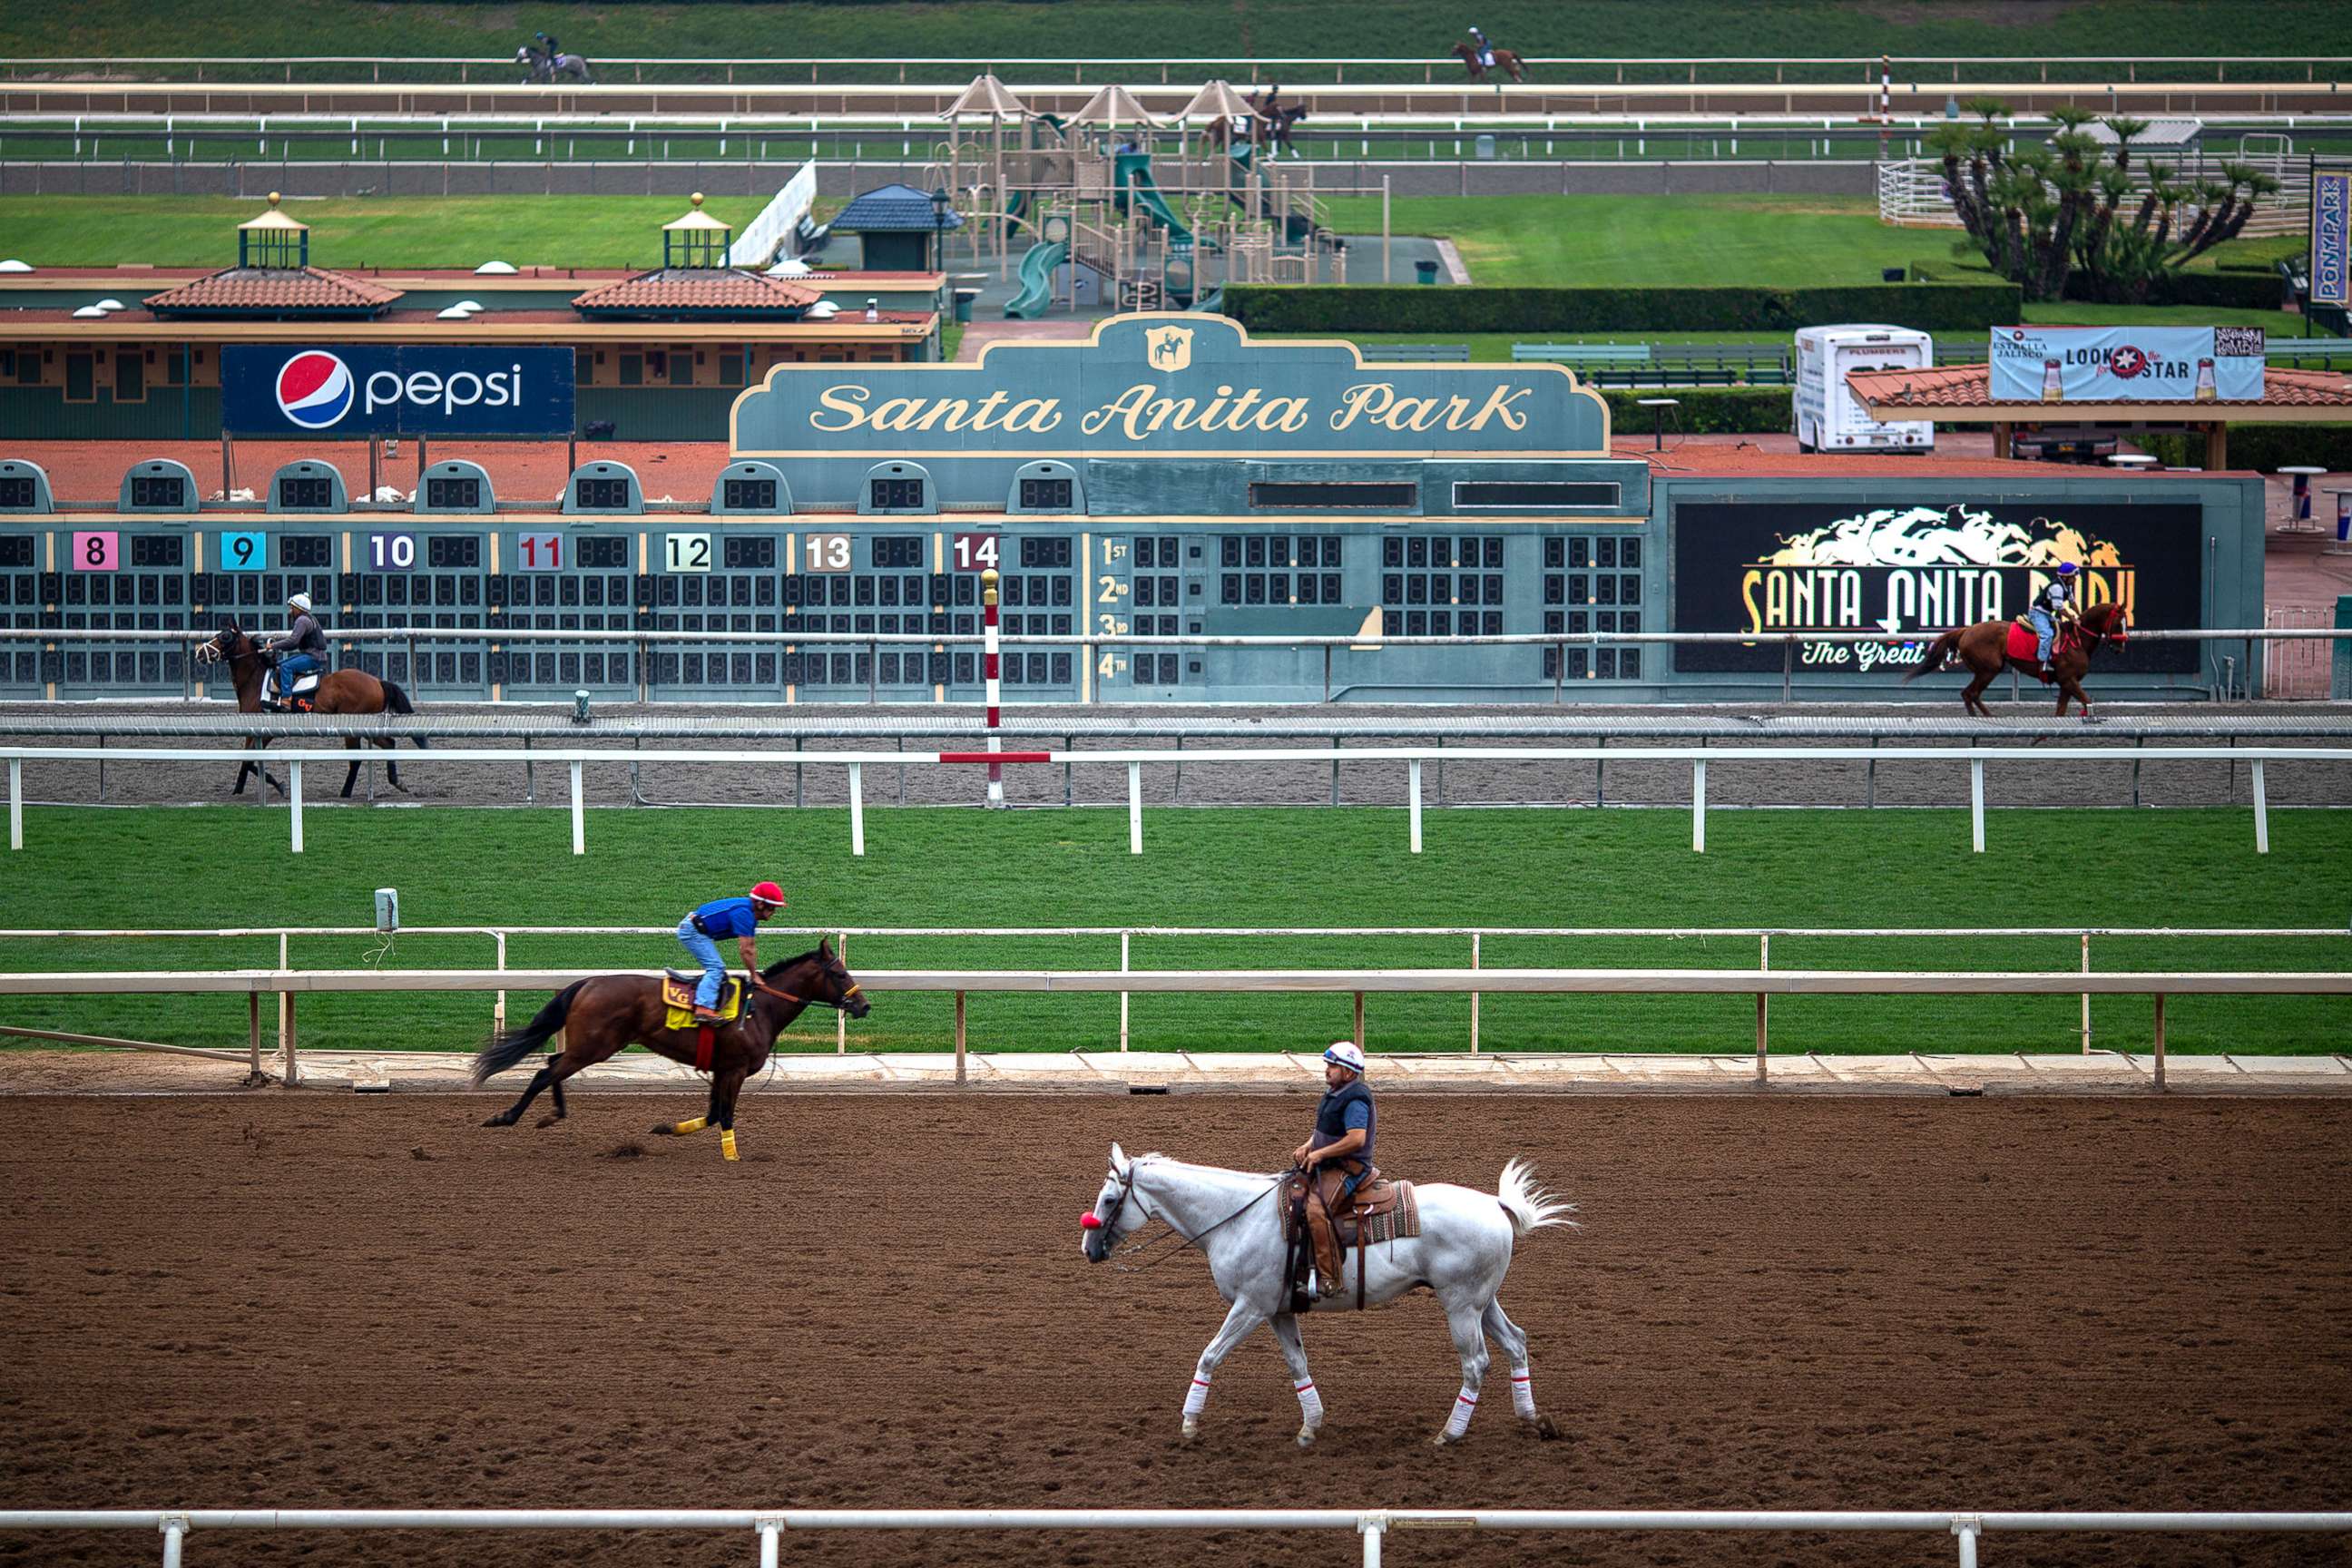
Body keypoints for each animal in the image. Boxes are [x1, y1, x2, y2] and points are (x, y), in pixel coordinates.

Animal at [192, 620, 427, 799]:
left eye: (225, 637)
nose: (199, 653)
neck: (256, 681)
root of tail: (377, 681)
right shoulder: (251, 728)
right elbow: (245, 759)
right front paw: (238, 789)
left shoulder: (267, 729)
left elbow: (251, 760)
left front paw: (280, 786)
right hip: (365, 725)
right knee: (388, 743)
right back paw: (395, 782)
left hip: (354, 726)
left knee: (357, 758)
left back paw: (345, 792)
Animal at [470, 940, 875, 1161]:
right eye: (840, 973)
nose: (864, 1006)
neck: (759, 1009)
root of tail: (586, 982)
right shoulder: (735, 1069)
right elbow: (725, 1115)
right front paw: (733, 1156)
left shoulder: (721, 1069)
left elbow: (712, 1115)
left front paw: (665, 1128)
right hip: (595, 1046)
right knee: (545, 1071)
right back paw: (506, 1117)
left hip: (589, 1045)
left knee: (553, 1064)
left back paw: (552, 1115)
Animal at [1086, 1147, 1580, 1457]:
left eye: (1110, 1199)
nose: (1089, 1249)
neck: (1237, 1218)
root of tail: (1496, 1206)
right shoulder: (1279, 1311)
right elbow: (1297, 1365)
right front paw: (1310, 1427)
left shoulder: (1250, 1307)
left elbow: (1209, 1356)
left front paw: (1189, 1425)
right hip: (1482, 1302)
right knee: (1515, 1343)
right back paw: (1533, 1419)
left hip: (1460, 1306)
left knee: (1476, 1363)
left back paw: (1448, 1435)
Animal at [1890, 606, 2135, 719]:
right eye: (2118, 623)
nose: (2120, 648)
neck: (2077, 641)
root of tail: (1966, 630)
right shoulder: (2069, 679)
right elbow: (2086, 700)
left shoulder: (2066, 683)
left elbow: (2062, 709)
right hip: (1989, 669)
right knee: (1969, 693)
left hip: (1986, 670)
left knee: (1970, 694)